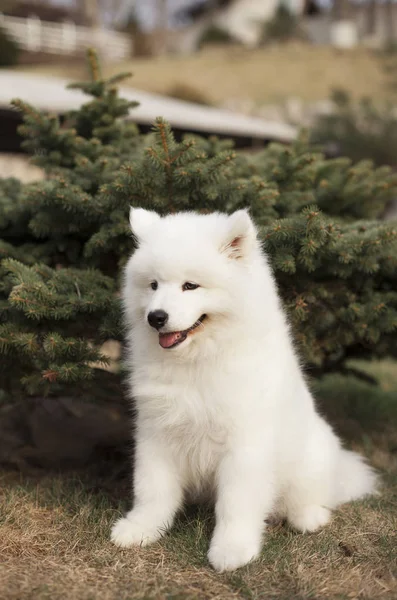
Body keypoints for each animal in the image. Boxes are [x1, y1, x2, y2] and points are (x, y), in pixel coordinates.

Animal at [110, 210, 376, 572]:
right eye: (152, 285)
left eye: (190, 286)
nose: (156, 317)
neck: (199, 360)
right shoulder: (157, 431)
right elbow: (152, 489)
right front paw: (139, 529)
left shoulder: (245, 445)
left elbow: (236, 504)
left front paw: (231, 551)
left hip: (311, 457)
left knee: (309, 496)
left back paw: (309, 518)